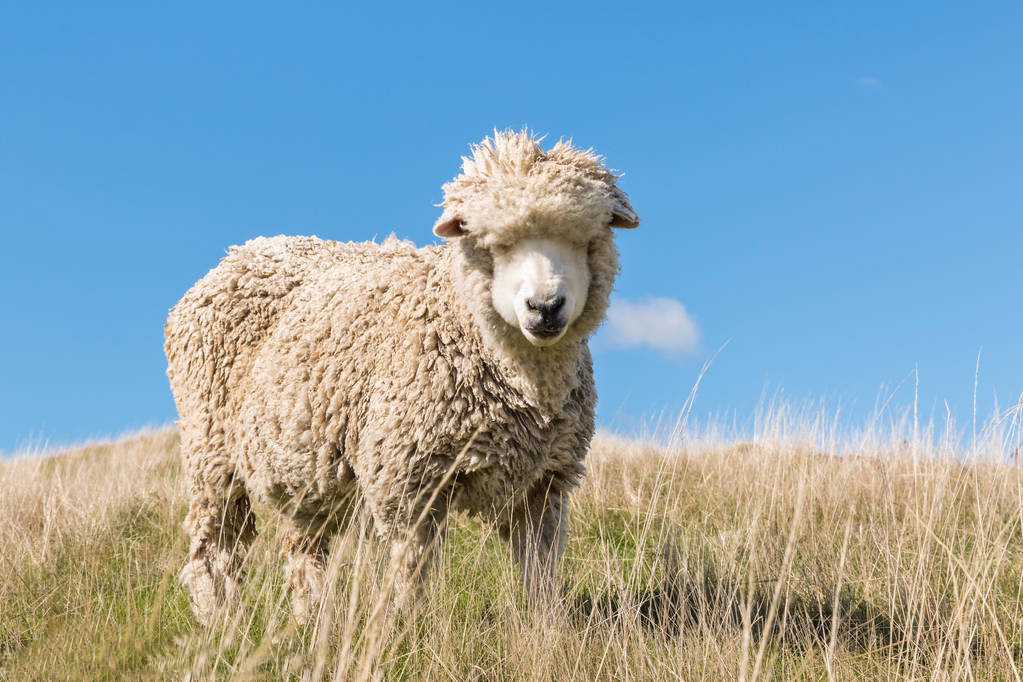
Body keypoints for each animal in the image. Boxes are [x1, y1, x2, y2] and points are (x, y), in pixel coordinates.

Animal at [164, 129, 642, 625]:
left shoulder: (544, 485)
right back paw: (221, 618)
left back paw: (311, 616)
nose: (545, 307)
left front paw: (547, 629)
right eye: (492, 243)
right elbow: (411, 568)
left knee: (301, 545)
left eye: (586, 238)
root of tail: (239, 253)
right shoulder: (407, 478)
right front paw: (406, 627)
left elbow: (541, 571)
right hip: (210, 450)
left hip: (302, 465)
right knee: (213, 547)